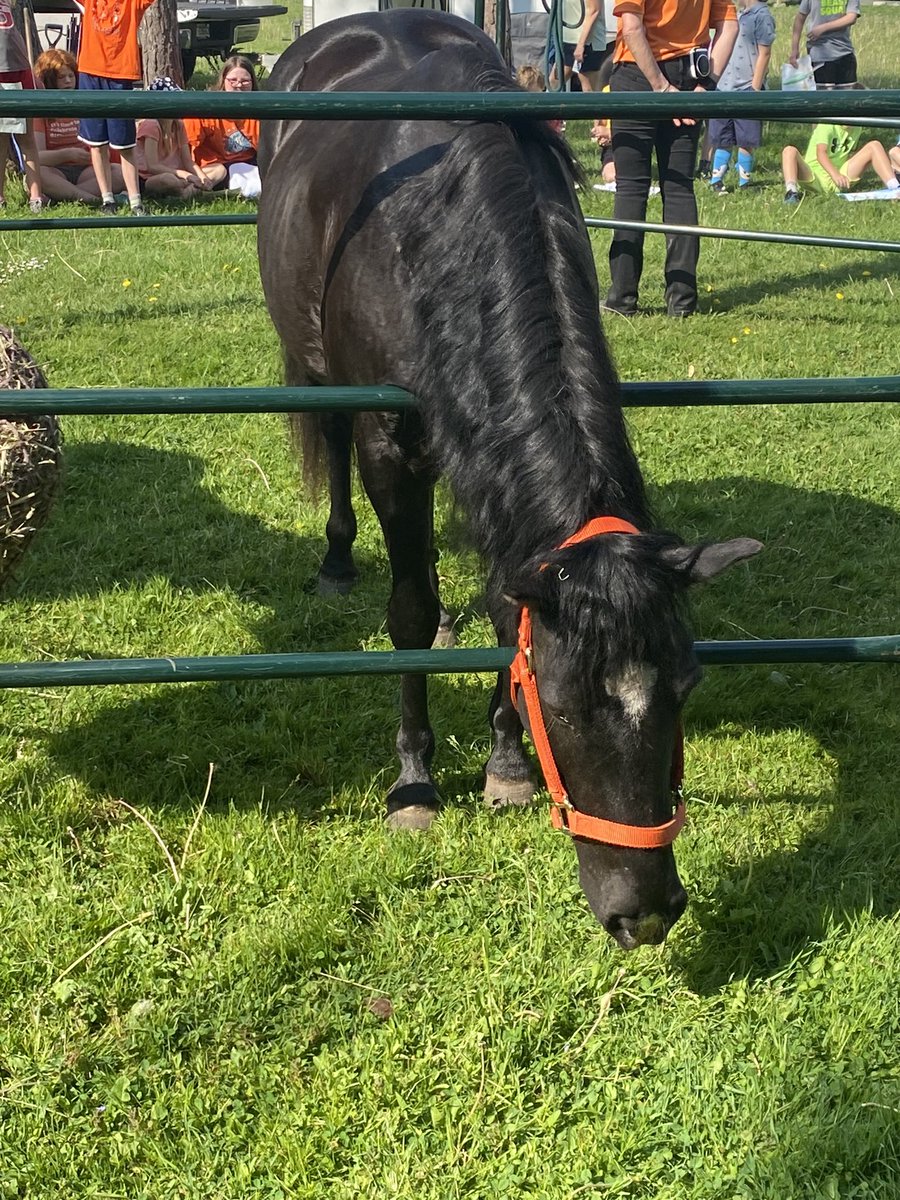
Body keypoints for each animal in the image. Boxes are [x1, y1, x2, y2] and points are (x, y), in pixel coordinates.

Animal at [257, 9, 761, 949]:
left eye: (685, 687)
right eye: (561, 707)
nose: (646, 913)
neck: (435, 231)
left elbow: (503, 606)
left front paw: (503, 766)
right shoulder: (391, 448)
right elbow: (409, 613)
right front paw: (415, 782)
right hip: (319, 378)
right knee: (334, 454)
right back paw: (339, 561)